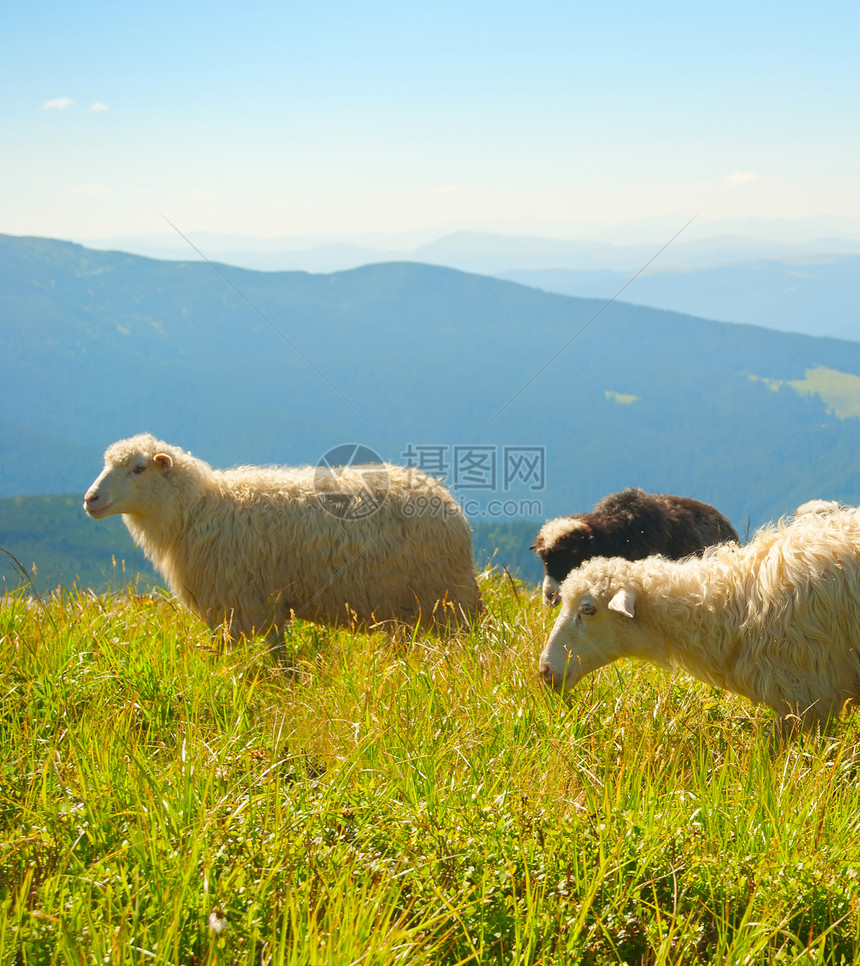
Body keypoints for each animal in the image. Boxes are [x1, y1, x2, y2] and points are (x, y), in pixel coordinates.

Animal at [85, 436, 484, 644]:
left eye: (138, 468)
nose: (90, 499)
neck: (197, 509)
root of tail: (444, 496)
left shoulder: (244, 604)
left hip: (443, 597)